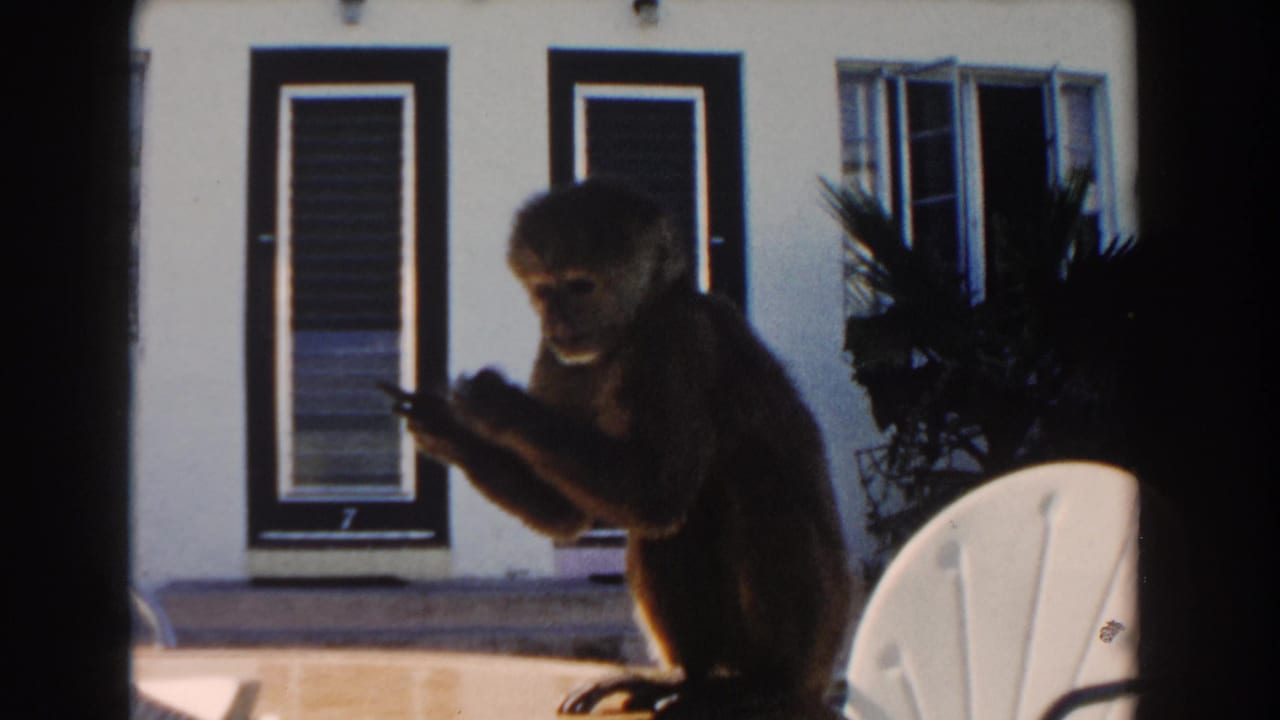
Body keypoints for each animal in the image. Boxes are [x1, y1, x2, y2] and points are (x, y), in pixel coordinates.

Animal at [385, 179, 852, 719]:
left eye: (580, 286)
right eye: (544, 289)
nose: (556, 318)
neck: (628, 337)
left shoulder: (677, 338)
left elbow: (657, 496)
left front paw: (500, 408)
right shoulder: (555, 356)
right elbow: (570, 514)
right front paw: (447, 430)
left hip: (819, 637)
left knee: (750, 489)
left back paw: (765, 682)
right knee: (681, 523)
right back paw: (687, 677)